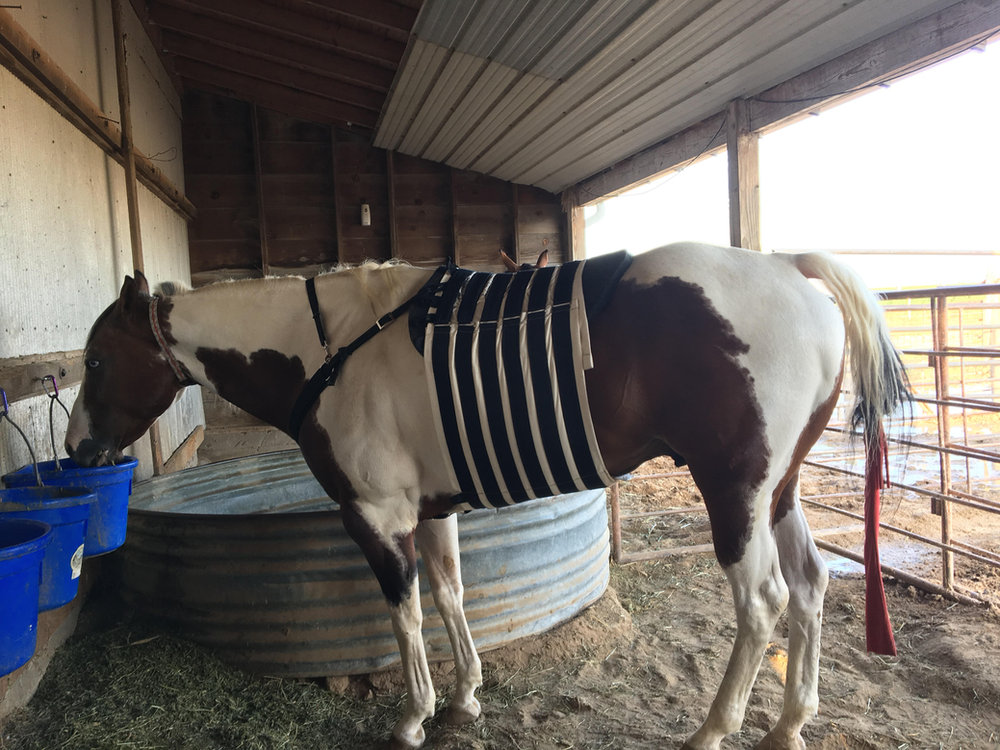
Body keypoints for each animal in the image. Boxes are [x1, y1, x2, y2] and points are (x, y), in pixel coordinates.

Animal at [65, 241, 908, 749]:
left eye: (99, 360)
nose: (77, 450)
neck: (331, 352)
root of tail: (789, 268)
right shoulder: (431, 510)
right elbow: (449, 596)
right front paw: (464, 697)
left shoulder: (376, 518)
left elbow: (405, 615)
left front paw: (413, 715)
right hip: (778, 491)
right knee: (808, 586)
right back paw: (789, 721)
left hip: (734, 491)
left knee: (762, 602)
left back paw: (712, 729)